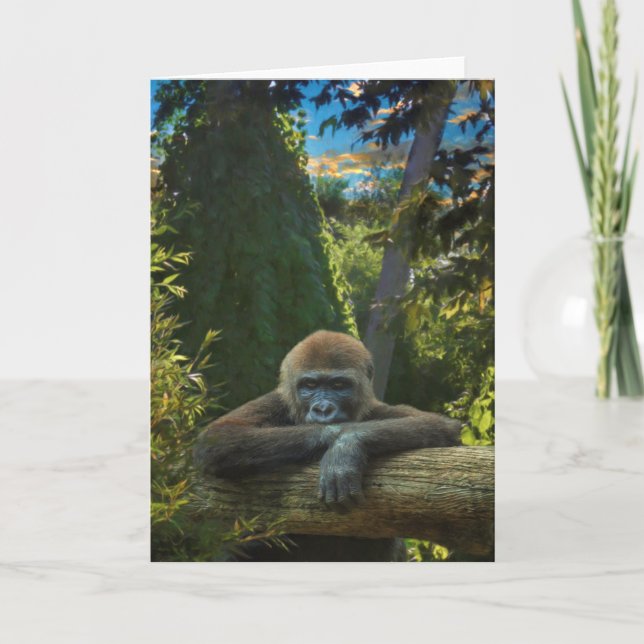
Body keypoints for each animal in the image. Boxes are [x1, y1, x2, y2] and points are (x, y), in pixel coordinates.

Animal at [193, 330, 462, 561]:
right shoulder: (277, 400)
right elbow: (220, 436)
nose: (323, 409)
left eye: (338, 386)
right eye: (310, 386)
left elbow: (440, 426)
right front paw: (337, 437)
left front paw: (346, 447)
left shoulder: (377, 408)